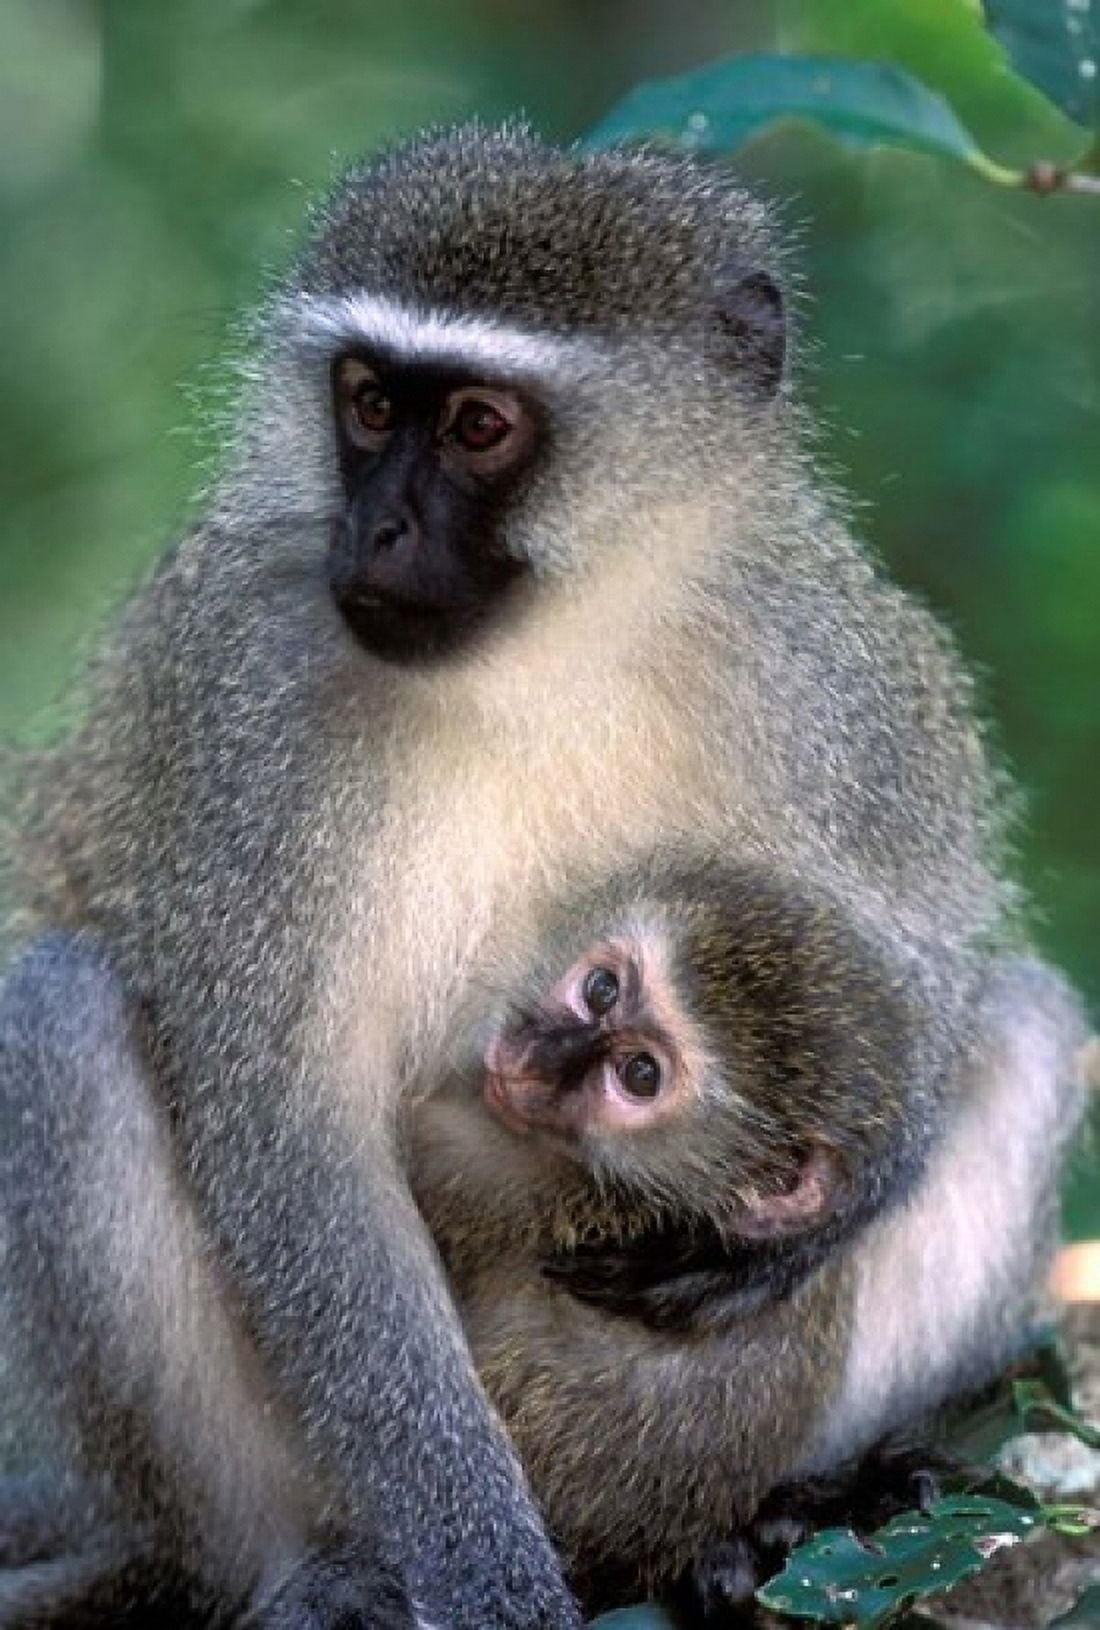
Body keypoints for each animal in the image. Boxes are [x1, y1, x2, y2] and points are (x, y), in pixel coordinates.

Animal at [0, 121, 1088, 1628]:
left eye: (477, 425)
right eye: (367, 405)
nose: (376, 533)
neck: (548, 650)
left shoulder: (824, 648)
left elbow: (929, 942)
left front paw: (822, 1216)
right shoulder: (251, 698)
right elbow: (290, 1135)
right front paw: (492, 1578)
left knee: (1027, 1025)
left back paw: (773, 1512)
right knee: (63, 1016)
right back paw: (296, 1569)